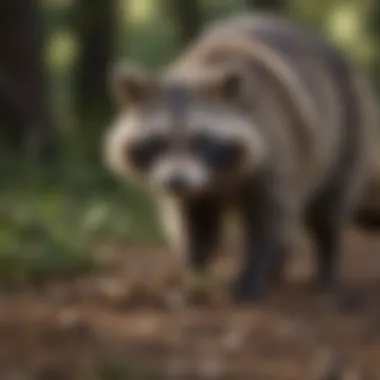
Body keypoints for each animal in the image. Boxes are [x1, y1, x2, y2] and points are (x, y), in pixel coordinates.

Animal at [102, 12, 378, 302]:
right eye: (159, 140)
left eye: (200, 139)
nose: (176, 181)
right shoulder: (190, 194)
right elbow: (194, 226)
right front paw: (193, 272)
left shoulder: (276, 153)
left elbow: (268, 222)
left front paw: (252, 273)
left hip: (350, 127)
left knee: (328, 209)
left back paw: (325, 261)